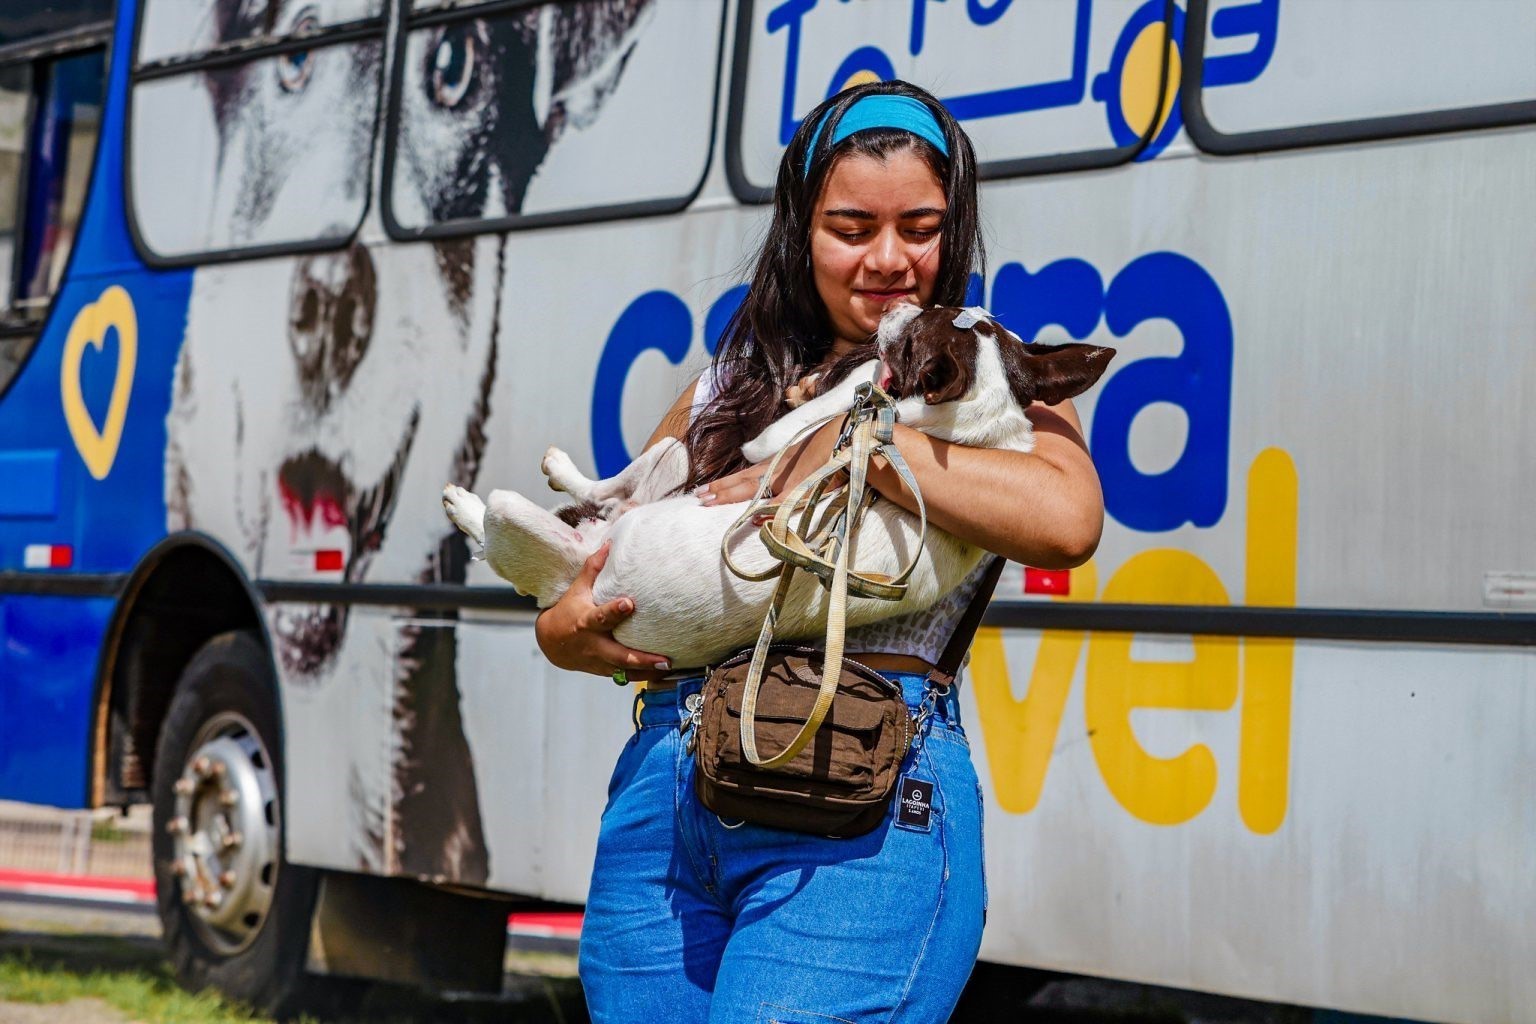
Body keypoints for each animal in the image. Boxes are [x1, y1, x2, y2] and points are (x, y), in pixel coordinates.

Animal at [445, 302, 1118, 672]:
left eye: (915, 328)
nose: (900, 300)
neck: (970, 433)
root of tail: (585, 569)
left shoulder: (786, 437)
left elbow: (845, 392)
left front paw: (841, 376)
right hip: (676, 458)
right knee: (624, 484)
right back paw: (566, 472)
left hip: (534, 536)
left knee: (502, 530)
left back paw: (467, 508)